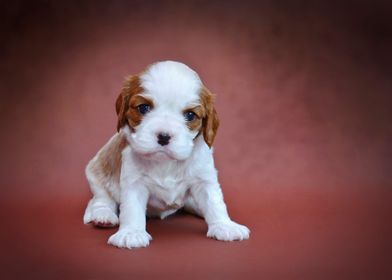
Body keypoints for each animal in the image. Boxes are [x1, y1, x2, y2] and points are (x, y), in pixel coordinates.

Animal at [83, 60, 251, 247]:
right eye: (143, 108)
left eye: (190, 115)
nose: (164, 136)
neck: (166, 162)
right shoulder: (134, 182)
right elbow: (131, 208)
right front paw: (131, 233)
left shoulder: (204, 178)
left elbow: (214, 202)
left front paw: (225, 225)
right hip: (97, 172)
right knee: (101, 199)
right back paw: (103, 216)